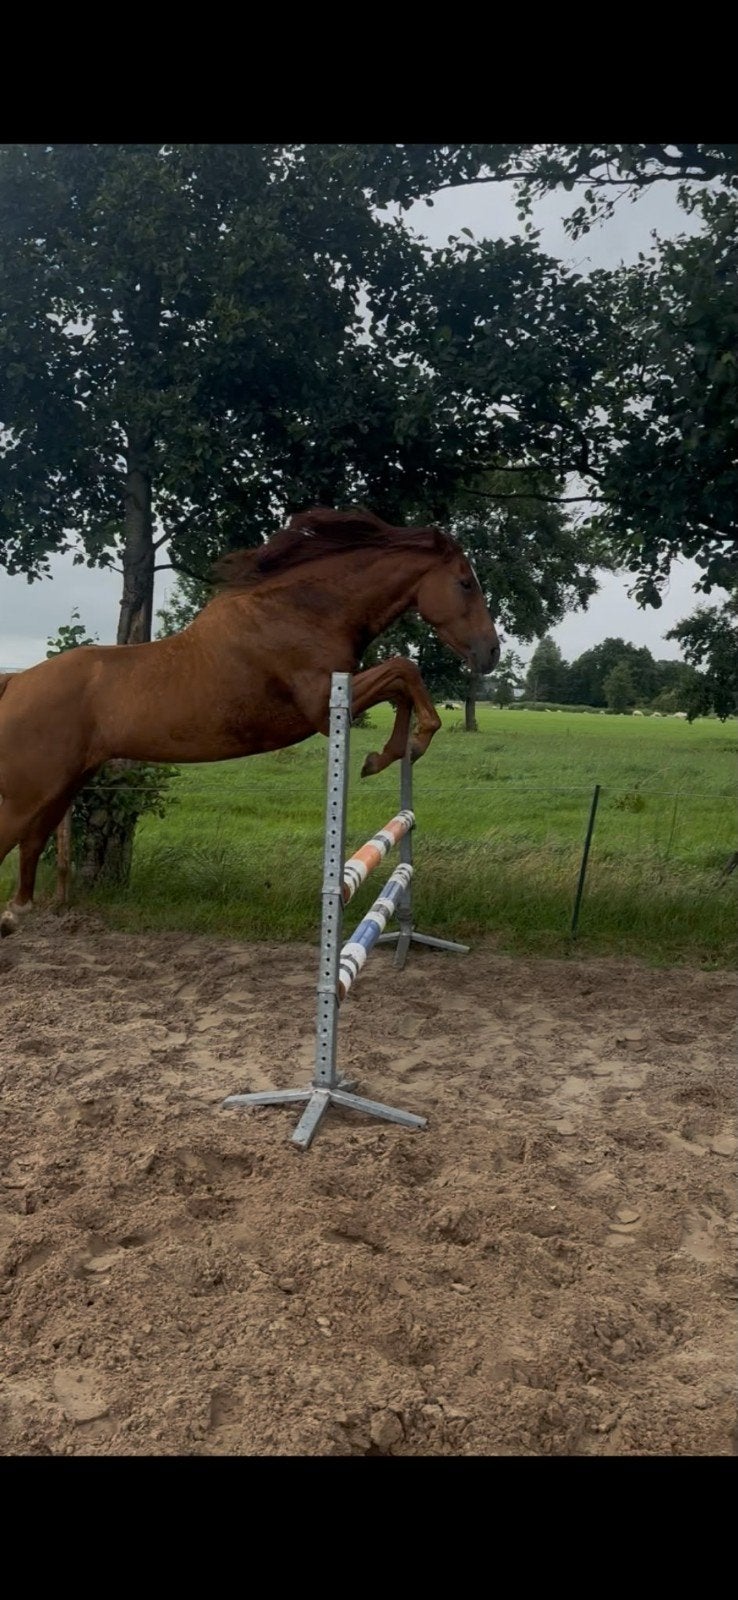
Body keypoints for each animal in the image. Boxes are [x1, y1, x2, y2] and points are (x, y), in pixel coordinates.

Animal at [0, 506, 499, 936]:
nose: (491, 654)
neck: (306, 610)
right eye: (465, 583)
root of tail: (16, 682)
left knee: (31, 845)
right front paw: (398, 750)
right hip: (32, 791)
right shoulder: (324, 705)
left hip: (61, 787)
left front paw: (390, 753)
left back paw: (16, 914)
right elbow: (404, 670)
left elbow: (403, 684)